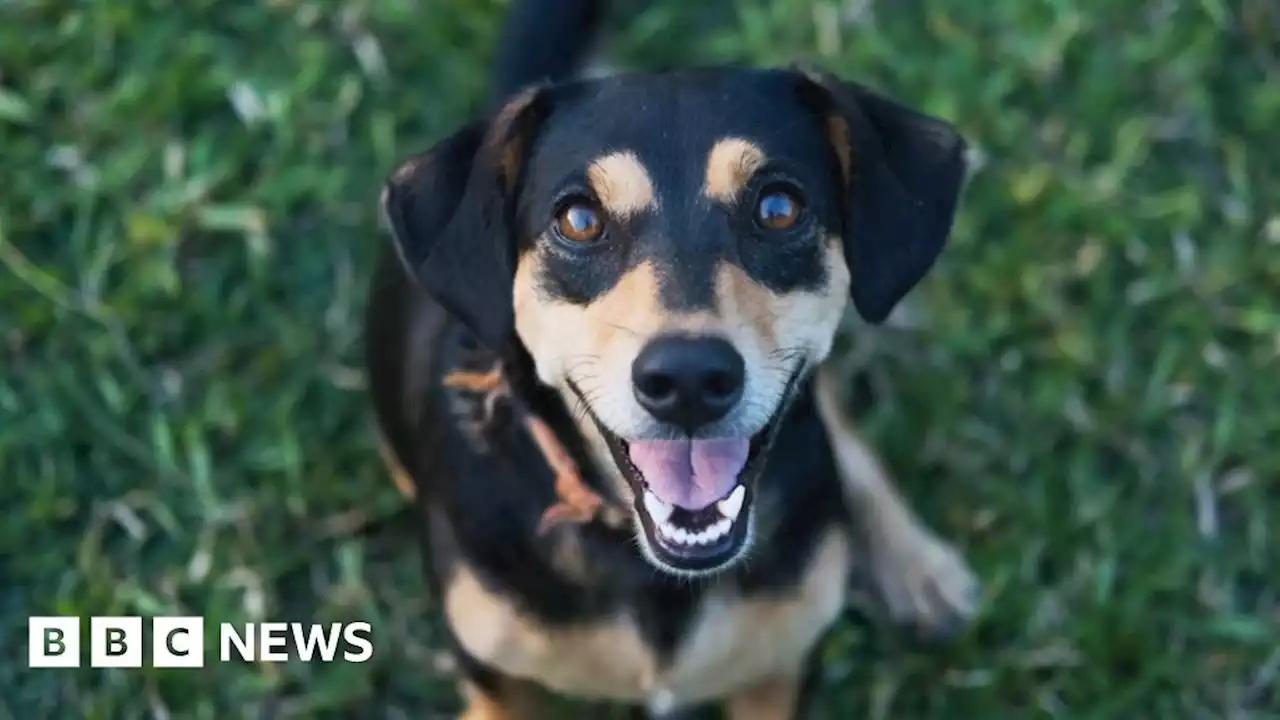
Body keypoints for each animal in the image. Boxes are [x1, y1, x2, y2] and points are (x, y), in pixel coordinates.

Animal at [366, 1, 983, 712]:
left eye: (779, 208)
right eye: (578, 220)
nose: (688, 380)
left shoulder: (778, 671)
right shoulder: (498, 680)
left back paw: (918, 567)